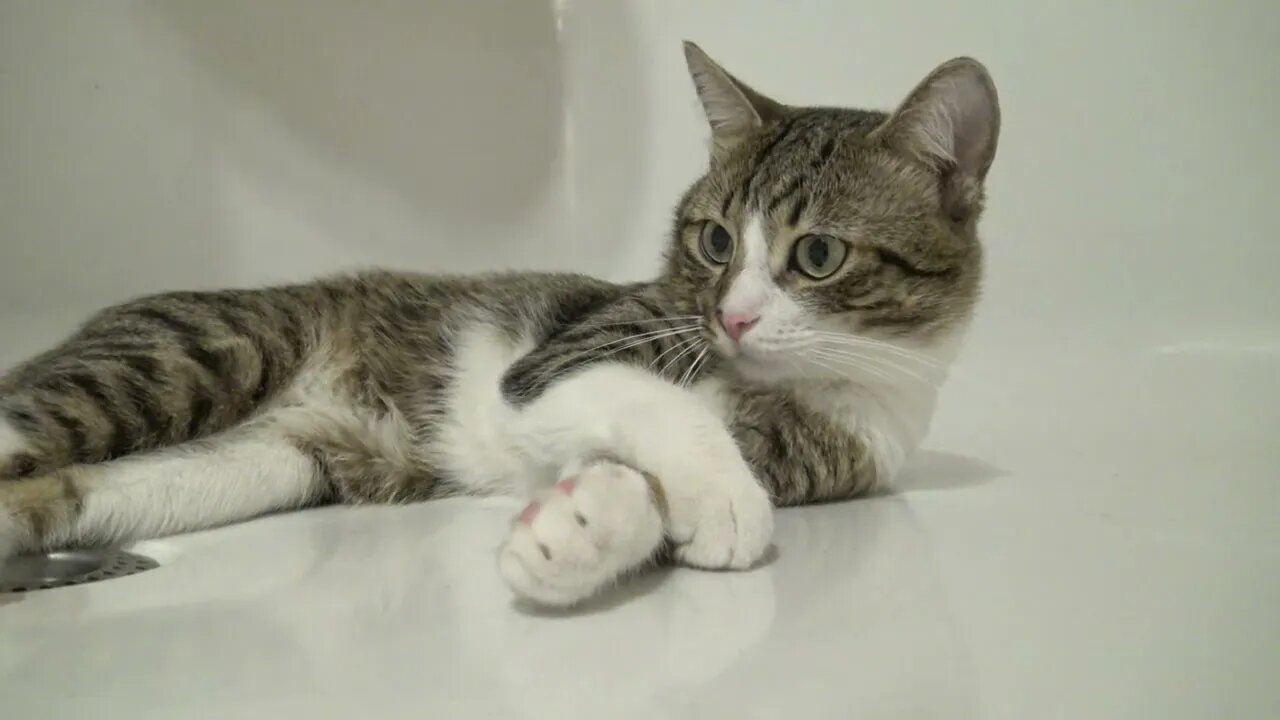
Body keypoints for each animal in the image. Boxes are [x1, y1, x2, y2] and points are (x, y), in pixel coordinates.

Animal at [0, 43, 998, 604]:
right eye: (715, 239)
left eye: (818, 255)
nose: (732, 314)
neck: (809, 385)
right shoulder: (570, 353)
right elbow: (658, 402)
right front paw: (715, 498)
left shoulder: (835, 451)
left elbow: (633, 478)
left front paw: (578, 531)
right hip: (194, 355)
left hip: (259, 467)